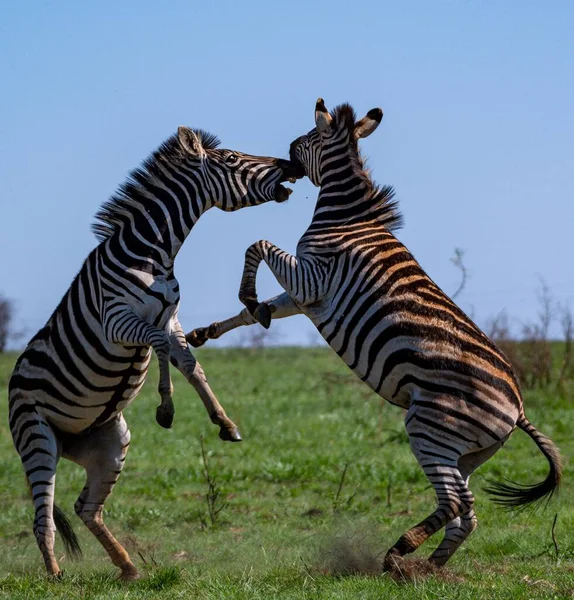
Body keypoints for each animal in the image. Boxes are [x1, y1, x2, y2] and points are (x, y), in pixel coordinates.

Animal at [7, 124, 302, 580]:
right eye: (232, 159)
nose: (291, 165)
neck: (155, 254)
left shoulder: (171, 318)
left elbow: (190, 364)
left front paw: (224, 422)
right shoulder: (117, 321)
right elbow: (161, 349)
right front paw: (166, 408)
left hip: (111, 444)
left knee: (85, 508)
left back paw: (127, 567)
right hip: (37, 438)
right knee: (43, 518)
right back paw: (55, 575)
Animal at [188, 97, 564, 568]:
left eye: (304, 139)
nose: (285, 159)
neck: (347, 218)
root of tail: (518, 408)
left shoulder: (313, 279)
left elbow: (256, 244)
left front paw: (247, 296)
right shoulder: (307, 296)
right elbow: (257, 309)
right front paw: (209, 330)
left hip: (429, 427)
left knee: (457, 502)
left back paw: (400, 552)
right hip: (468, 451)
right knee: (467, 513)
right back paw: (428, 568)